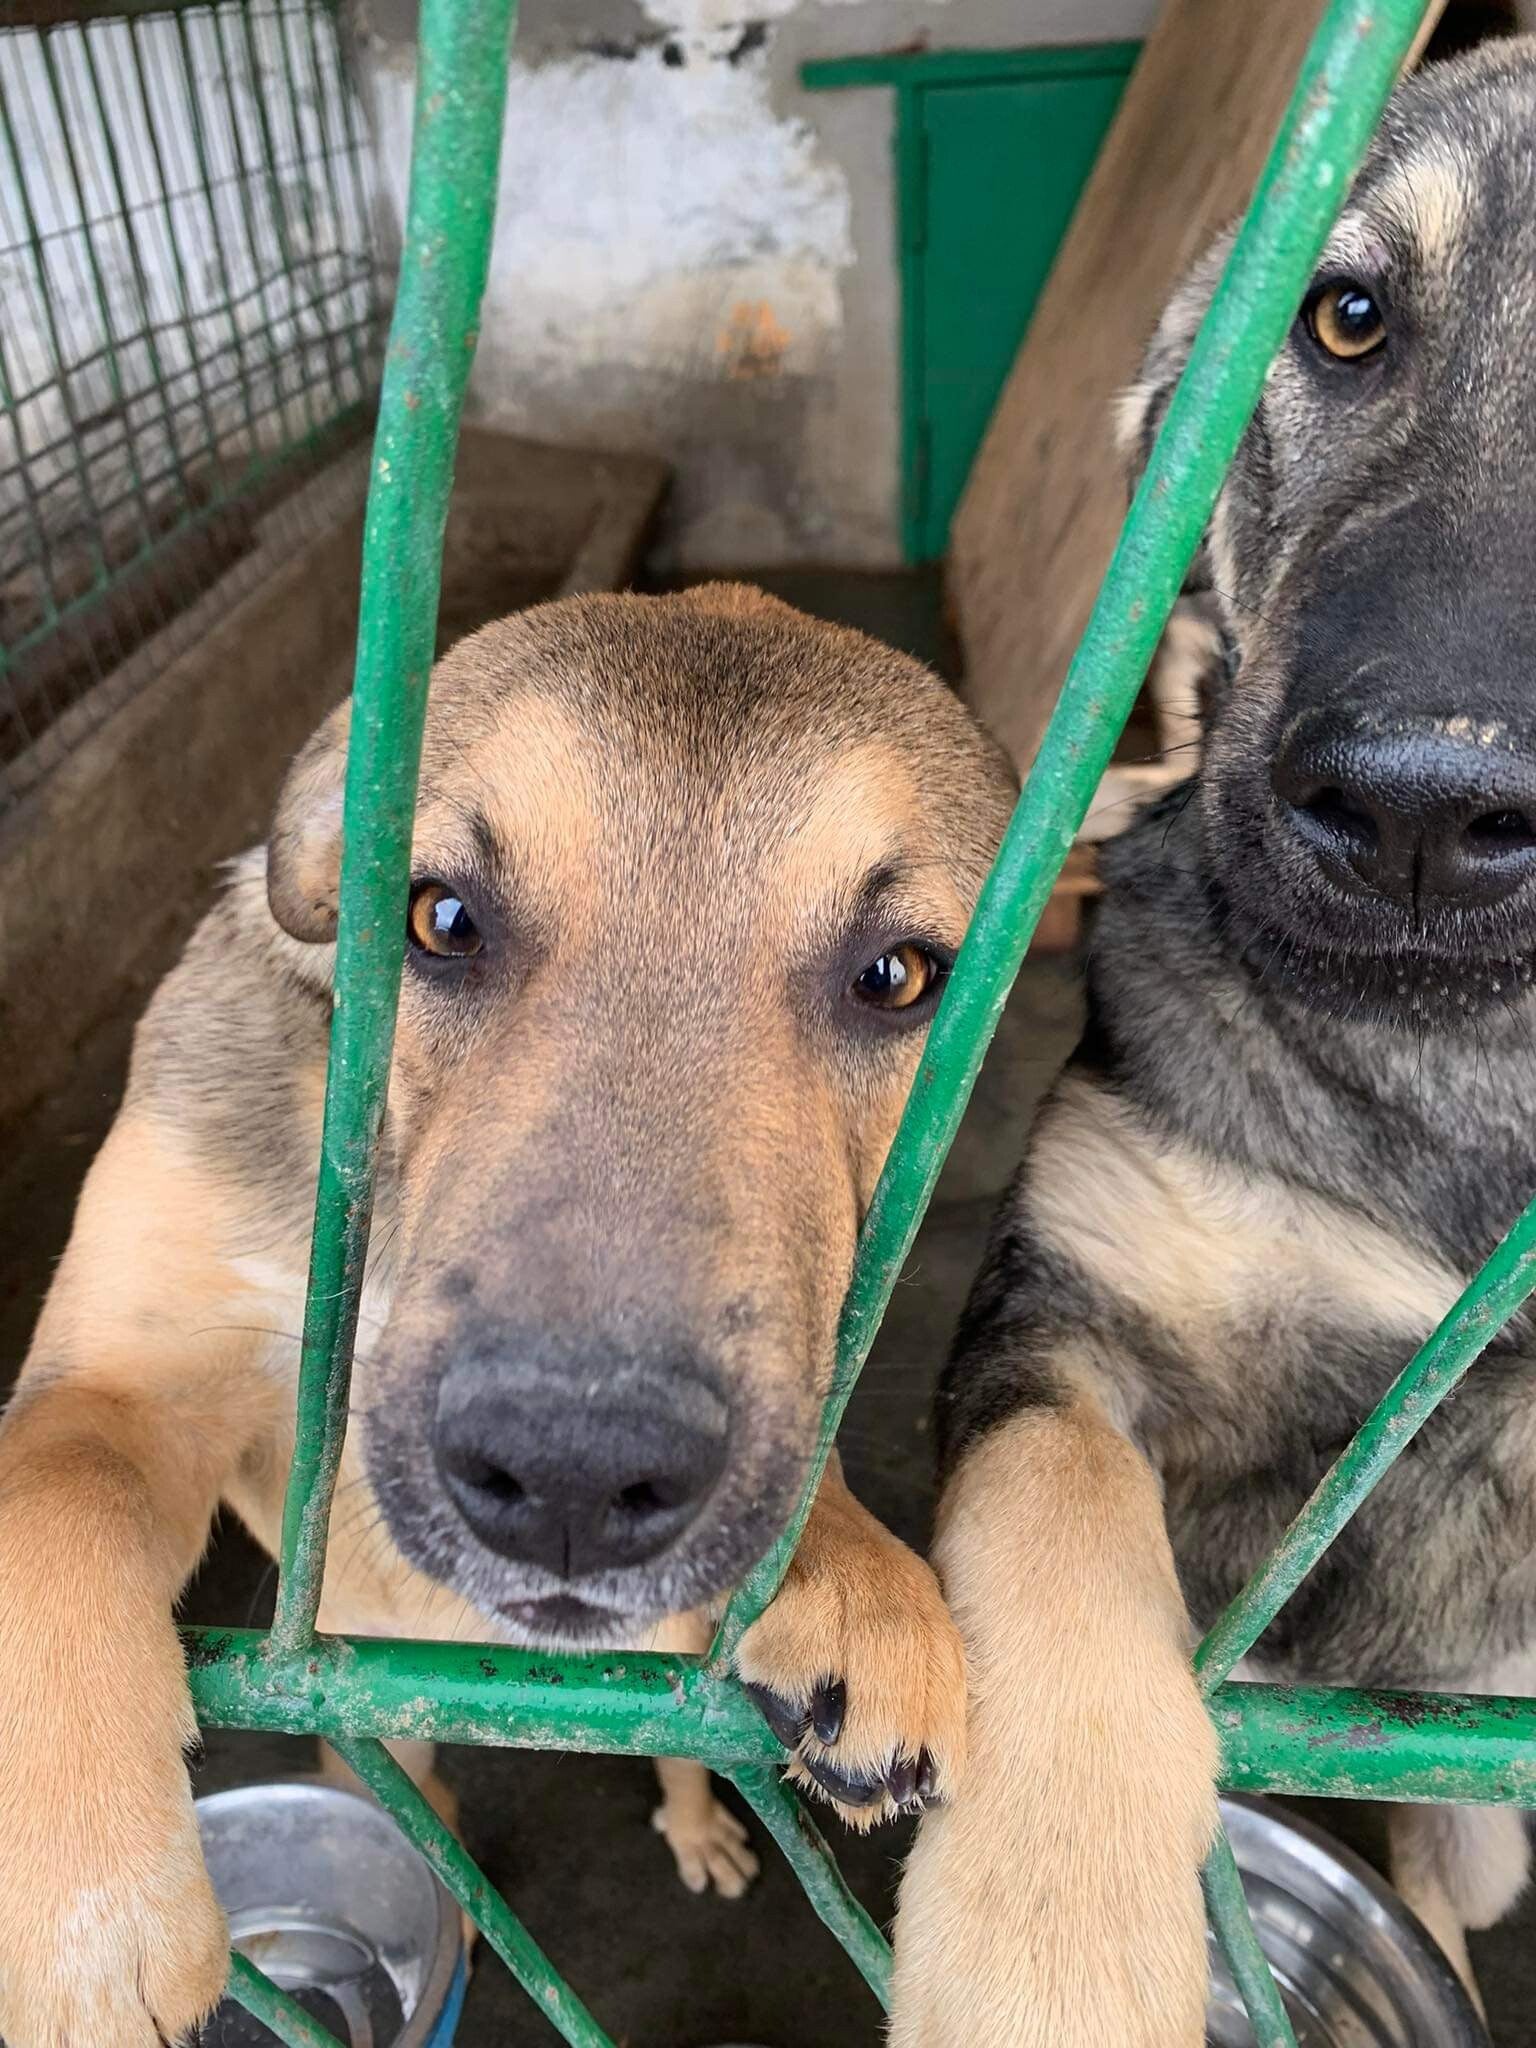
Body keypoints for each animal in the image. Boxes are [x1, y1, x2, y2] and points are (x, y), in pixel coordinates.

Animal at [0, 582, 1015, 2047]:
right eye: (440, 919)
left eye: (897, 975)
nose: (573, 1479)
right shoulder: (126, 1377)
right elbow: (55, 1492)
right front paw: (83, 1908)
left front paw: (860, 1575)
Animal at [891, 38, 1536, 2047]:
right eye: (1344, 319)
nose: (1415, 813)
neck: (1457, 1070)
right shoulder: (1065, 1314)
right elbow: (1058, 1516)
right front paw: (1047, 1939)